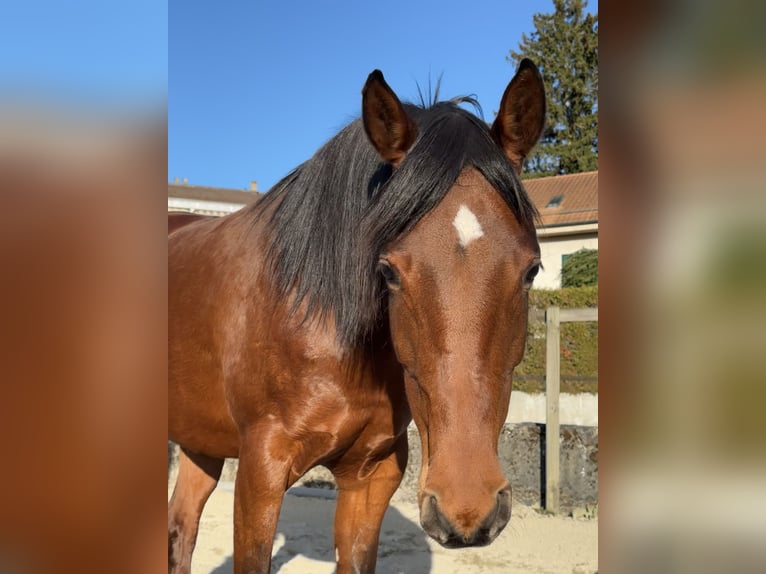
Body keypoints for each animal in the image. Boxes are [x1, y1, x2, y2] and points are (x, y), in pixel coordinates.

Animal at [168, 58, 545, 574]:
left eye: (531, 269)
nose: (466, 506)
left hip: (199, 442)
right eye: (388, 271)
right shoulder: (260, 472)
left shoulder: (372, 473)